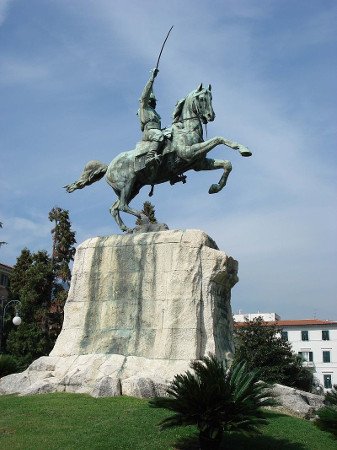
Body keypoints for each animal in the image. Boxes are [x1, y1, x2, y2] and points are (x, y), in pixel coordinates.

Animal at [64, 82, 251, 234]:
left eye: (211, 97)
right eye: (202, 98)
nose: (211, 116)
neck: (187, 129)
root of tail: (109, 165)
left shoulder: (199, 163)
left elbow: (227, 164)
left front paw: (215, 187)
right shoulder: (189, 153)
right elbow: (219, 139)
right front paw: (243, 149)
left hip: (134, 187)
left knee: (114, 208)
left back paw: (127, 229)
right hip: (128, 183)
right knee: (122, 206)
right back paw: (143, 218)